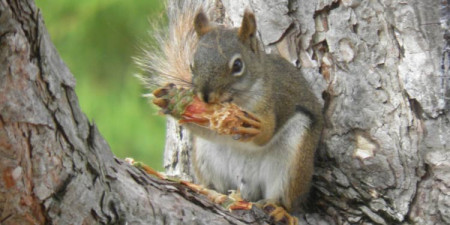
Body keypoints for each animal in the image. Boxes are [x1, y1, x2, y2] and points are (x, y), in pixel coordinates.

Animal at [135, 0, 322, 221]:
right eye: (192, 64)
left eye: (238, 65)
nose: (205, 96)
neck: (239, 100)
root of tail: (246, 191)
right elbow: (205, 129)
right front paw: (172, 100)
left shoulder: (274, 101)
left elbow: (266, 134)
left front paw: (256, 127)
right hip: (206, 157)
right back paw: (211, 192)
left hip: (293, 160)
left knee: (285, 199)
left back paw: (279, 209)